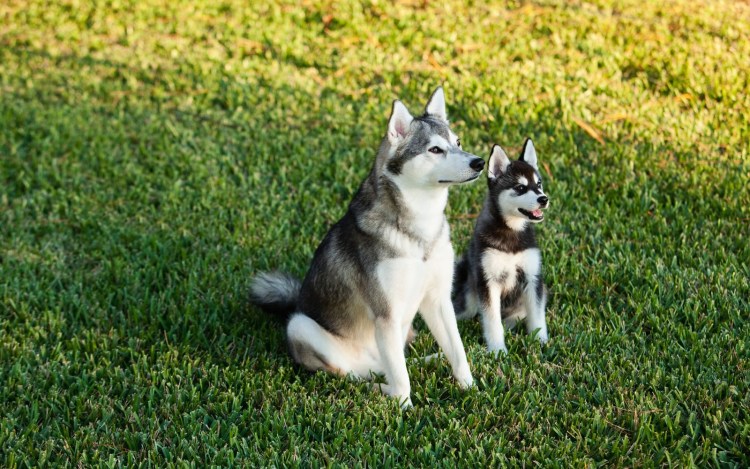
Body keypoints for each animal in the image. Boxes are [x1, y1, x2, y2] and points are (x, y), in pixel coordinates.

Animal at [250, 88, 485, 407]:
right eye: (435, 149)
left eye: (458, 143)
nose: (479, 162)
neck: (418, 226)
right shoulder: (386, 313)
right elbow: (402, 382)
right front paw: (405, 409)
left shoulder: (438, 299)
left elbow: (458, 352)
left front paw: (469, 388)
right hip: (302, 326)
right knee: (359, 375)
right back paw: (379, 390)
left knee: (397, 364)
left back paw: (429, 360)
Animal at [453, 139, 549, 355]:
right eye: (520, 187)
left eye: (538, 184)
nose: (544, 199)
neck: (511, 231)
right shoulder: (488, 282)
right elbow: (492, 321)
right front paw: (497, 350)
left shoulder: (532, 277)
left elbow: (537, 316)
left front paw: (541, 342)